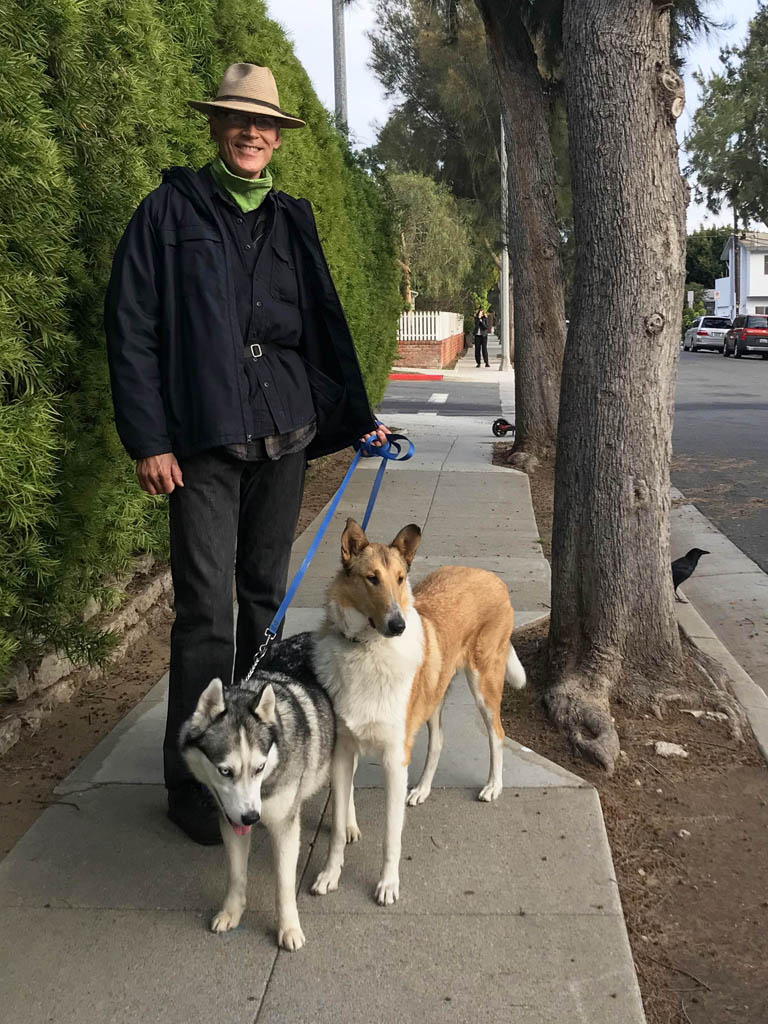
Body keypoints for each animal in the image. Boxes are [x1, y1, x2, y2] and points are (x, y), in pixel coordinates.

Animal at [183, 634, 335, 946]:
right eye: (225, 771)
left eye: (259, 767)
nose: (252, 817)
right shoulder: (230, 821)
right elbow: (236, 874)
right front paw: (232, 911)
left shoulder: (285, 827)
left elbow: (284, 883)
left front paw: (289, 928)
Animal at [309, 520, 528, 905]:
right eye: (372, 578)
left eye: (400, 578)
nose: (398, 625)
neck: (366, 650)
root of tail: (489, 575)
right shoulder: (343, 752)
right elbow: (336, 827)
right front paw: (329, 875)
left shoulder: (395, 759)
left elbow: (391, 836)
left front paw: (388, 885)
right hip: (434, 694)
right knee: (439, 740)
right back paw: (422, 790)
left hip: (484, 685)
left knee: (497, 735)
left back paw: (492, 786)